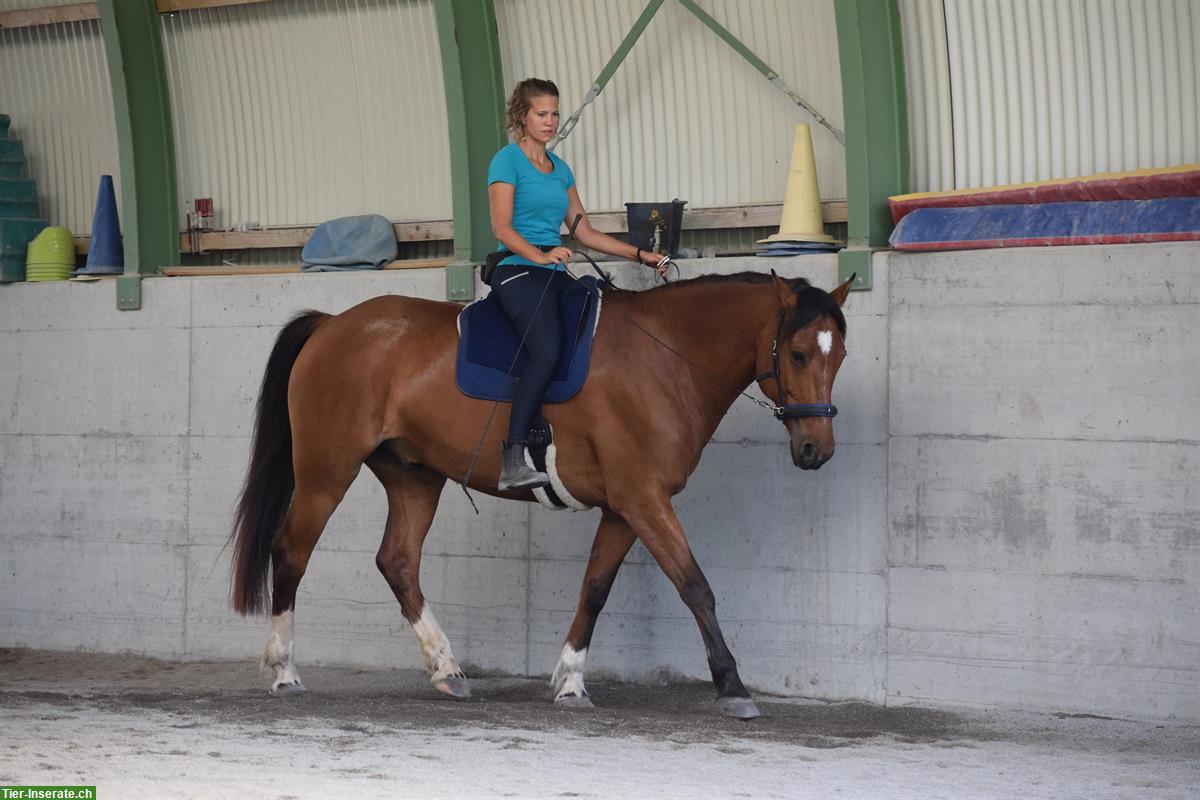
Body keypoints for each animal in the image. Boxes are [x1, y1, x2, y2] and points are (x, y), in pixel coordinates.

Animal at [229, 271, 854, 719]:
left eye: (840, 355)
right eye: (798, 353)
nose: (815, 450)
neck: (667, 357)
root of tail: (333, 323)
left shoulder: (625, 507)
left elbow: (595, 589)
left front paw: (571, 681)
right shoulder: (645, 499)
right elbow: (695, 587)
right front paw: (732, 685)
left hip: (414, 476)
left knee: (398, 561)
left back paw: (446, 670)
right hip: (326, 469)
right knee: (292, 552)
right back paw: (284, 671)